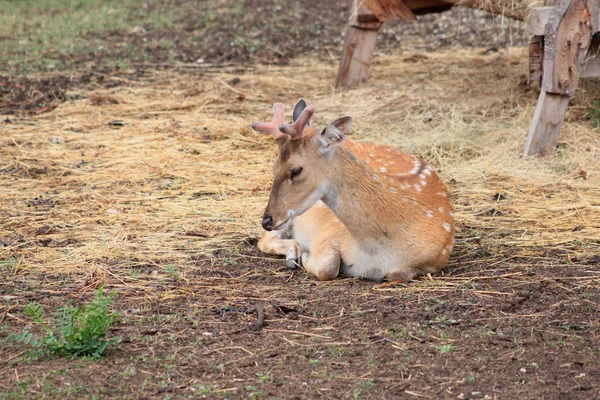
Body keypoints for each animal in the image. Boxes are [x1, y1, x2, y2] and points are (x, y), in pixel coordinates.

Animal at [250, 99, 454, 282]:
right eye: (274, 167)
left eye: (296, 170)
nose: (267, 220)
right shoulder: (327, 232)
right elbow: (328, 267)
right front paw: (306, 256)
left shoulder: (435, 259)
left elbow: (397, 273)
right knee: (264, 239)